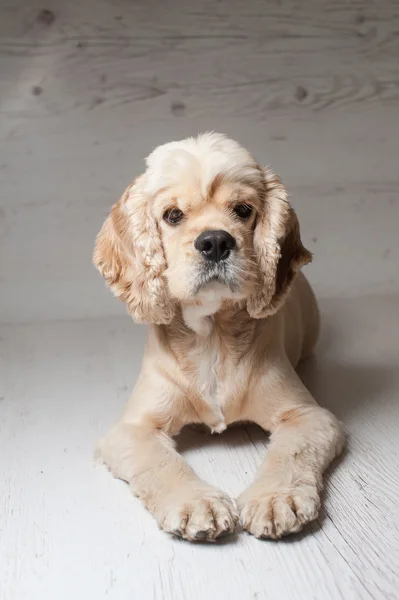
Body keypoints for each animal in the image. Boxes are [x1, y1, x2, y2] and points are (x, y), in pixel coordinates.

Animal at [94, 132, 344, 544]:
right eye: (172, 215)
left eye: (243, 210)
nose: (214, 242)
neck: (211, 336)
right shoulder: (132, 429)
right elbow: (161, 462)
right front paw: (196, 504)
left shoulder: (309, 417)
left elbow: (290, 453)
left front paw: (276, 499)